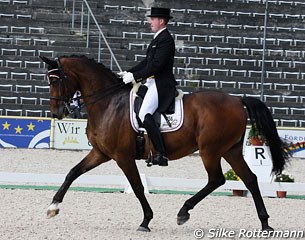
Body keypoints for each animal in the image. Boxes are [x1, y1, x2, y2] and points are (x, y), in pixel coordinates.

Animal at [40, 55, 290, 232]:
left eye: (55, 80)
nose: (56, 113)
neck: (108, 102)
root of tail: (237, 99)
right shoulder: (101, 153)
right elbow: (73, 172)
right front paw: (53, 207)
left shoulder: (122, 156)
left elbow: (138, 187)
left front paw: (146, 220)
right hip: (230, 150)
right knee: (249, 179)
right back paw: (265, 223)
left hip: (210, 150)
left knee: (217, 179)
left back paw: (183, 211)